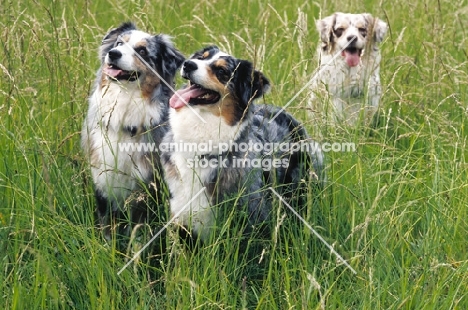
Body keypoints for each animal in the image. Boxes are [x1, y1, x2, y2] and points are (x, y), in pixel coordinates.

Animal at [81, 22, 184, 240]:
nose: (113, 54)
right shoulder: (103, 180)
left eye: (142, 51)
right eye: (119, 43)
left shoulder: (146, 187)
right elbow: (106, 226)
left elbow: (139, 231)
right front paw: (107, 246)